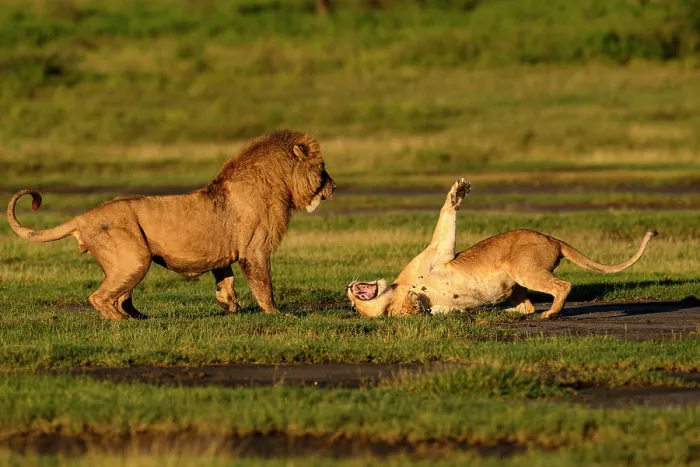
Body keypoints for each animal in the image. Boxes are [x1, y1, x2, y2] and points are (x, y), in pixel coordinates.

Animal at [8, 130, 335, 320]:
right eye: (322, 168)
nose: (334, 186)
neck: (279, 182)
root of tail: (83, 215)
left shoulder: (225, 254)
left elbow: (225, 281)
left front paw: (230, 306)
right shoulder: (255, 249)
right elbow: (263, 284)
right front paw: (277, 314)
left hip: (129, 262)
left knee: (120, 297)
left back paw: (139, 317)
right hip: (134, 259)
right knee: (99, 297)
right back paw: (124, 323)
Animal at [346, 178, 656, 319]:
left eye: (352, 304)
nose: (348, 288)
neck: (395, 294)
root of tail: (552, 239)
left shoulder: (438, 253)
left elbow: (445, 217)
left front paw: (459, 191)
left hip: (521, 270)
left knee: (559, 287)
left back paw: (548, 313)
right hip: (520, 275)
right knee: (548, 294)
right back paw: (536, 313)